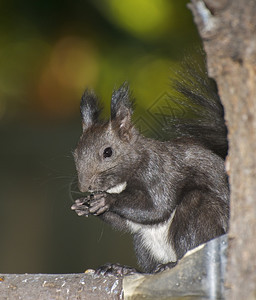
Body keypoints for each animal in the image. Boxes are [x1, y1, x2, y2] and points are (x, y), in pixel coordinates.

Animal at [70, 58, 230, 276]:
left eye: (108, 152)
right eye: (75, 153)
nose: (85, 187)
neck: (120, 183)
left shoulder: (160, 173)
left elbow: (156, 208)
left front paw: (106, 200)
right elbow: (127, 222)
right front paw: (83, 205)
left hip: (200, 214)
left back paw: (171, 264)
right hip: (143, 243)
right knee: (148, 268)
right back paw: (123, 268)